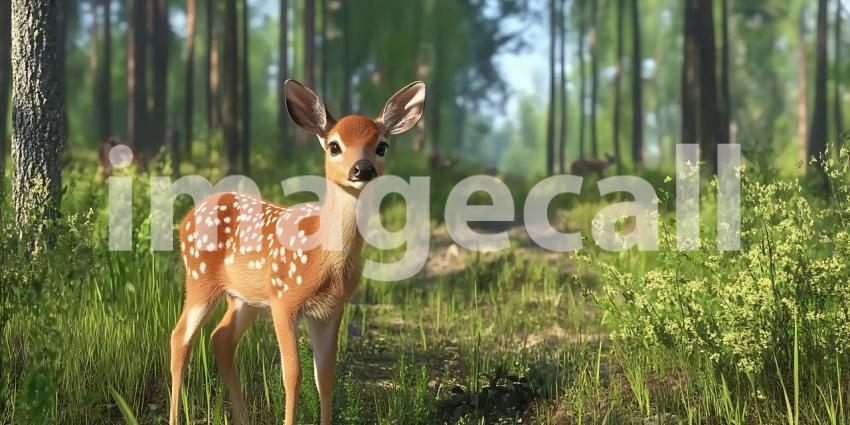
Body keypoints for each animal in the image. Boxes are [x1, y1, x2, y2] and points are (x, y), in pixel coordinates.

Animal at [168, 79, 426, 425]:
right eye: (334, 146)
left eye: (382, 146)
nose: (363, 168)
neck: (323, 260)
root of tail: (185, 219)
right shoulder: (283, 300)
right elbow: (292, 374)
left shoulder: (331, 309)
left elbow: (325, 375)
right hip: (199, 278)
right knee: (180, 338)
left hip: (244, 297)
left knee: (220, 338)